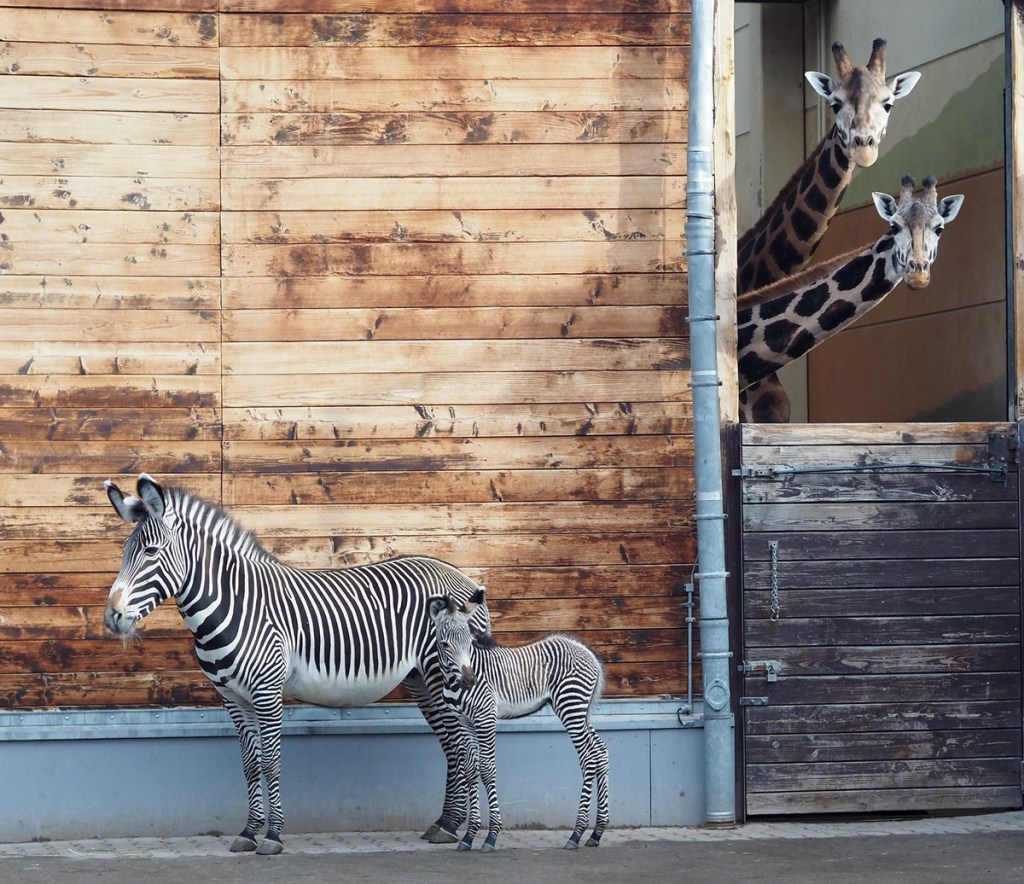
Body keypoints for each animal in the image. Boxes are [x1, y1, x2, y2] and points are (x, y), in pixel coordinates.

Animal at [105, 473, 489, 852]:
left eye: (151, 552)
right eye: (124, 553)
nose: (112, 617)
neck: (235, 605)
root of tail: (462, 576)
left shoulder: (266, 691)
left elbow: (271, 761)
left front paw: (273, 835)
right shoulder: (232, 697)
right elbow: (249, 764)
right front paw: (248, 831)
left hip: (445, 678)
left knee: (466, 748)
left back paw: (459, 829)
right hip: (421, 680)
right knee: (452, 747)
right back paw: (444, 824)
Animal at [425, 590, 606, 852]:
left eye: (470, 643)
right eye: (445, 644)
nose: (469, 681)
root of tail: (586, 651)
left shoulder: (485, 718)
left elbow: (487, 770)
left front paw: (491, 836)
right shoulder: (465, 723)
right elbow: (470, 770)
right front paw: (469, 836)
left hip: (570, 707)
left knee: (588, 759)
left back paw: (576, 834)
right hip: (580, 711)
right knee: (601, 752)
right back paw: (597, 833)